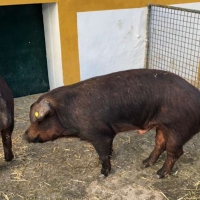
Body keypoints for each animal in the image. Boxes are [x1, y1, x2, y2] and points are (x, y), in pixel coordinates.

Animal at [23, 69, 200, 178]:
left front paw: (102, 173)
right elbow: (108, 151)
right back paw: (144, 164)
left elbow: (103, 154)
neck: (66, 113)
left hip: (178, 129)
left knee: (175, 152)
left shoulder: (100, 134)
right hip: (162, 127)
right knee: (160, 144)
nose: (24, 135)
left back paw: (159, 174)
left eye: (39, 120)